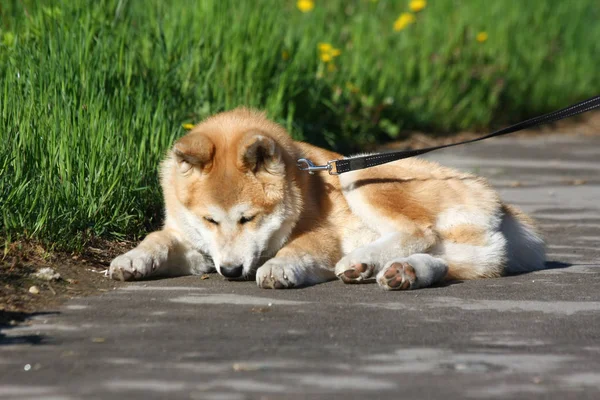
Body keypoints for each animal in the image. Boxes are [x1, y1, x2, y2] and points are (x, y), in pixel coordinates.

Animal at [108, 108, 544, 290]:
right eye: (210, 220)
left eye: (248, 218)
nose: (230, 272)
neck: (303, 184)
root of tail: (500, 204)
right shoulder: (198, 246)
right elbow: (158, 240)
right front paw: (131, 259)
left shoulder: (323, 234)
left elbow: (298, 249)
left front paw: (280, 268)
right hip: (465, 248)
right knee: (444, 259)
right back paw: (401, 272)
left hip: (358, 176)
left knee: (418, 231)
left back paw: (361, 260)